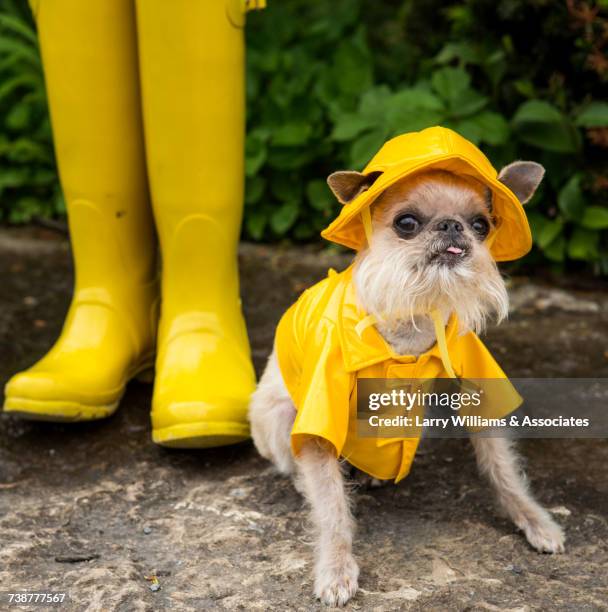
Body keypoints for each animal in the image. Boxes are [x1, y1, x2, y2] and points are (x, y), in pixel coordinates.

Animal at [247, 126, 564, 604]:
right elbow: (332, 507)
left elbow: (503, 469)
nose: (452, 225)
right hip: (280, 418)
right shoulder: (319, 423)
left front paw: (533, 519)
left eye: (481, 225)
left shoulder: (475, 387)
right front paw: (336, 568)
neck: (413, 313)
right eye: (407, 223)